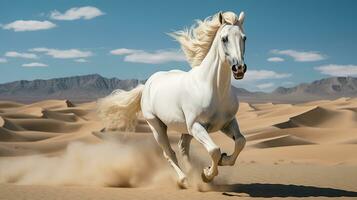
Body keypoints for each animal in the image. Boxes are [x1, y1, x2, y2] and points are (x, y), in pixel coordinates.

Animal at [97, 11, 248, 188]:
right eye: (224, 38)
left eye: (244, 38)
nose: (239, 68)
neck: (214, 88)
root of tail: (146, 85)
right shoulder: (197, 126)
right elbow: (214, 150)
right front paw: (207, 174)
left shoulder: (227, 123)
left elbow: (240, 142)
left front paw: (223, 161)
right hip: (157, 126)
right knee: (169, 152)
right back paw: (185, 179)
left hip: (186, 130)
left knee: (183, 149)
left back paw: (193, 173)